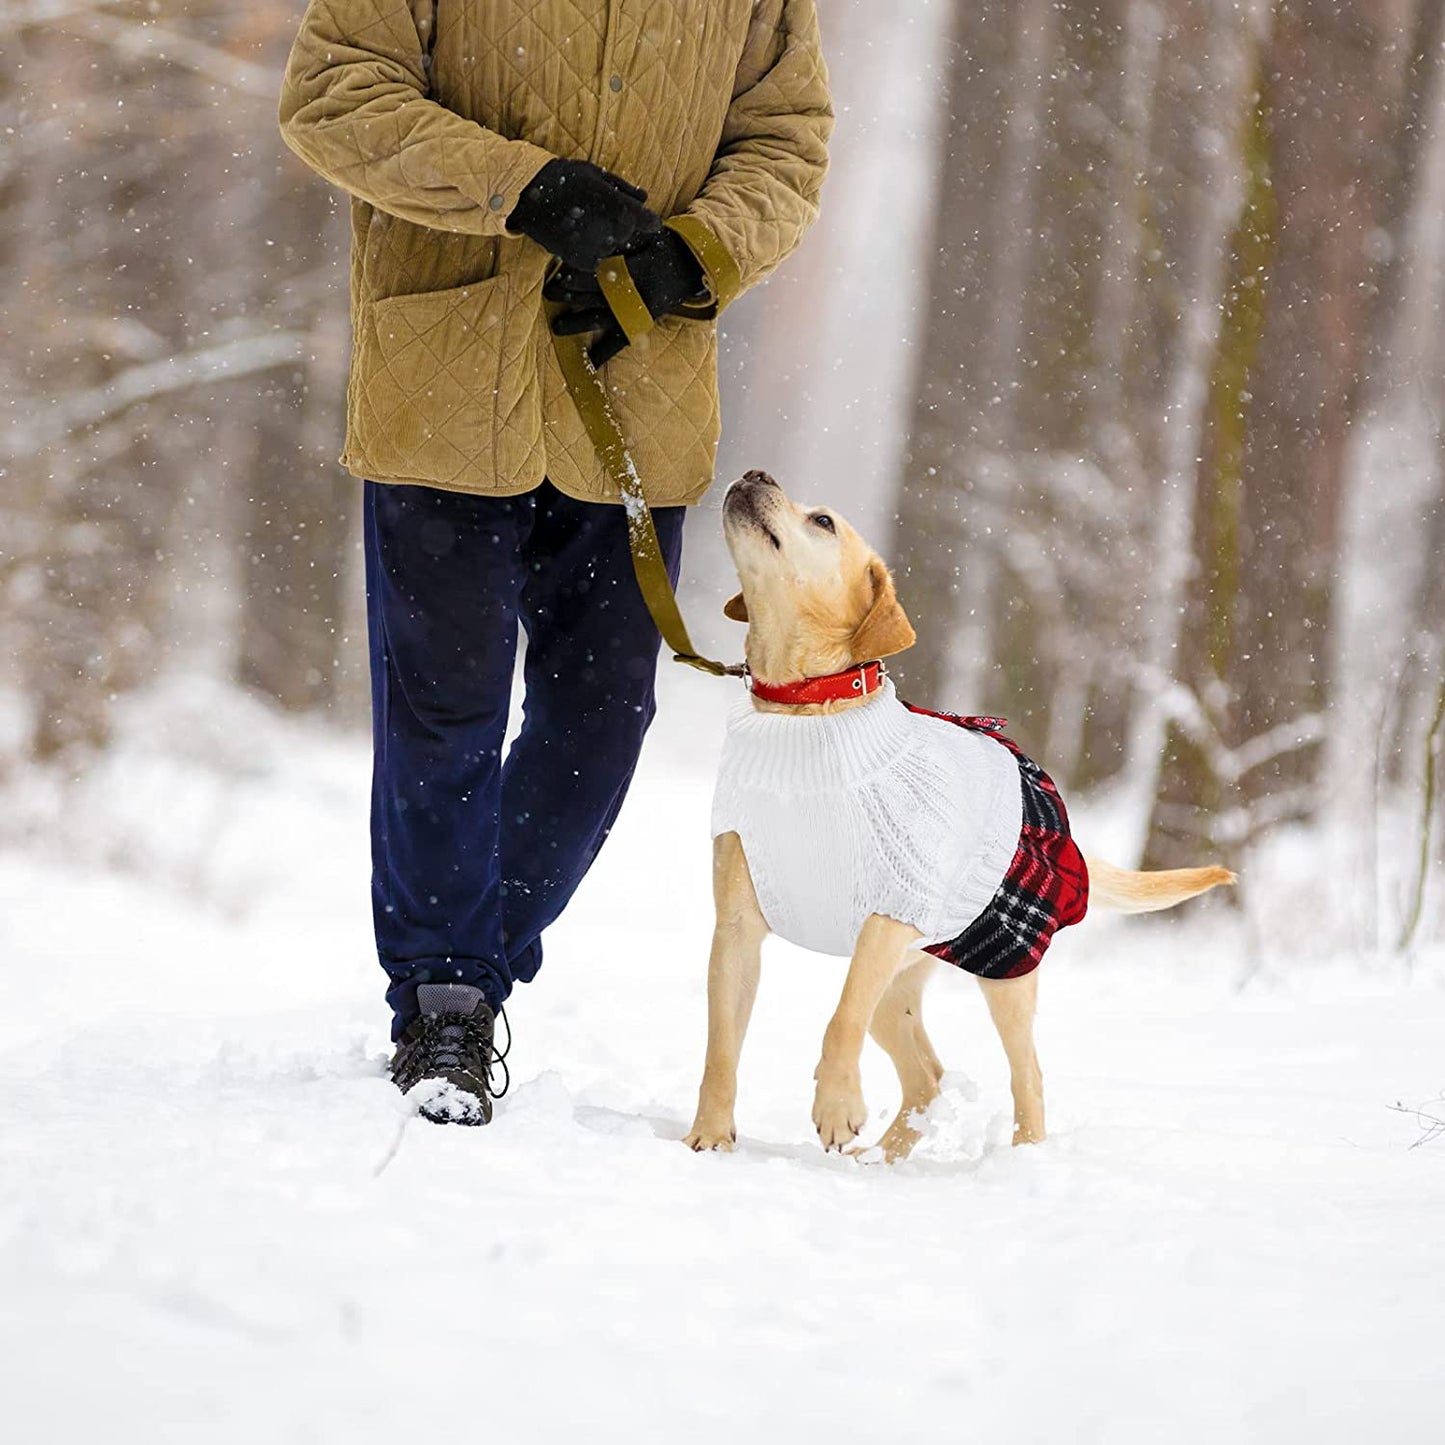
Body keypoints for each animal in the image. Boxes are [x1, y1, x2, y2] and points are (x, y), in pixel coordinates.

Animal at [684, 473, 1231, 1161]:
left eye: (823, 521)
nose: (755, 474)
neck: (805, 710)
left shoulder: (891, 910)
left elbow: (840, 1018)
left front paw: (836, 1105)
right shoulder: (736, 930)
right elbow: (720, 1046)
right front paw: (708, 1136)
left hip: (1000, 972)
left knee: (1026, 1076)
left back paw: (1020, 1157)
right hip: (901, 981)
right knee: (928, 1078)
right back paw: (881, 1162)